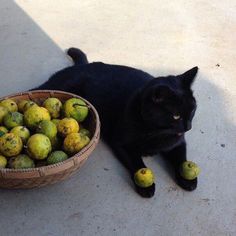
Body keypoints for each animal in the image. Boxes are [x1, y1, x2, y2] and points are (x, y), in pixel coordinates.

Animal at [34, 48, 197, 197]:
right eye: (176, 116)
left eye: (193, 110)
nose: (188, 127)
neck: (156, 132)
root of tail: (84, 65)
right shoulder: (121, 143)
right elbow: (136, 163)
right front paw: (146, 187)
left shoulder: (178, 144)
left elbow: (181, 159)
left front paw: (188, 179)